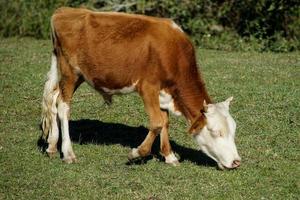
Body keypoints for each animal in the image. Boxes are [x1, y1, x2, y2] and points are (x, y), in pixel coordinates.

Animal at [40, 8, 241, 170]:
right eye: (216, 132)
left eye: (233, 130)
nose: (237, 161)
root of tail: (64, 11)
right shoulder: (148, 87)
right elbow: (157, 123)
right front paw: (136, 153)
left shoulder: (163, 93)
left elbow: (165, 121)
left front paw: (169, 156)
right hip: (70, 72)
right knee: (64, 107)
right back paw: (68, 153)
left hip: (76, 75)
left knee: (54, 100)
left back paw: (51, 146)